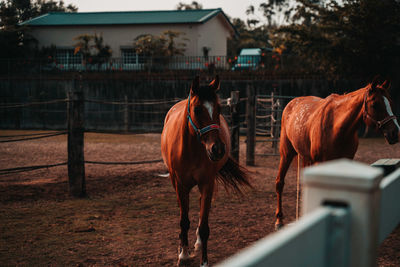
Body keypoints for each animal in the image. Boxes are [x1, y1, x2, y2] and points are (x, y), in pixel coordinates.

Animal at [160, 76, 250, 267]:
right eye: (197, 109)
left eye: (219, 109)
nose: (217, 149)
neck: (192, 149)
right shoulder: (181, 185)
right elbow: (184, 221)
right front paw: (183, 255)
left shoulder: (207, 183)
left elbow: (204, 227)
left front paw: (204, 261)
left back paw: (198, 243)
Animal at [276, 77, 398, 228]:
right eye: (375, 104)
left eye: (390, 102)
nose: (395, 132)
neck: (336, 127)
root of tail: (291, 103)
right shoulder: (319, 163)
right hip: (286, 154)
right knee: (279, 182)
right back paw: (279, 220)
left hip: (306, 157)